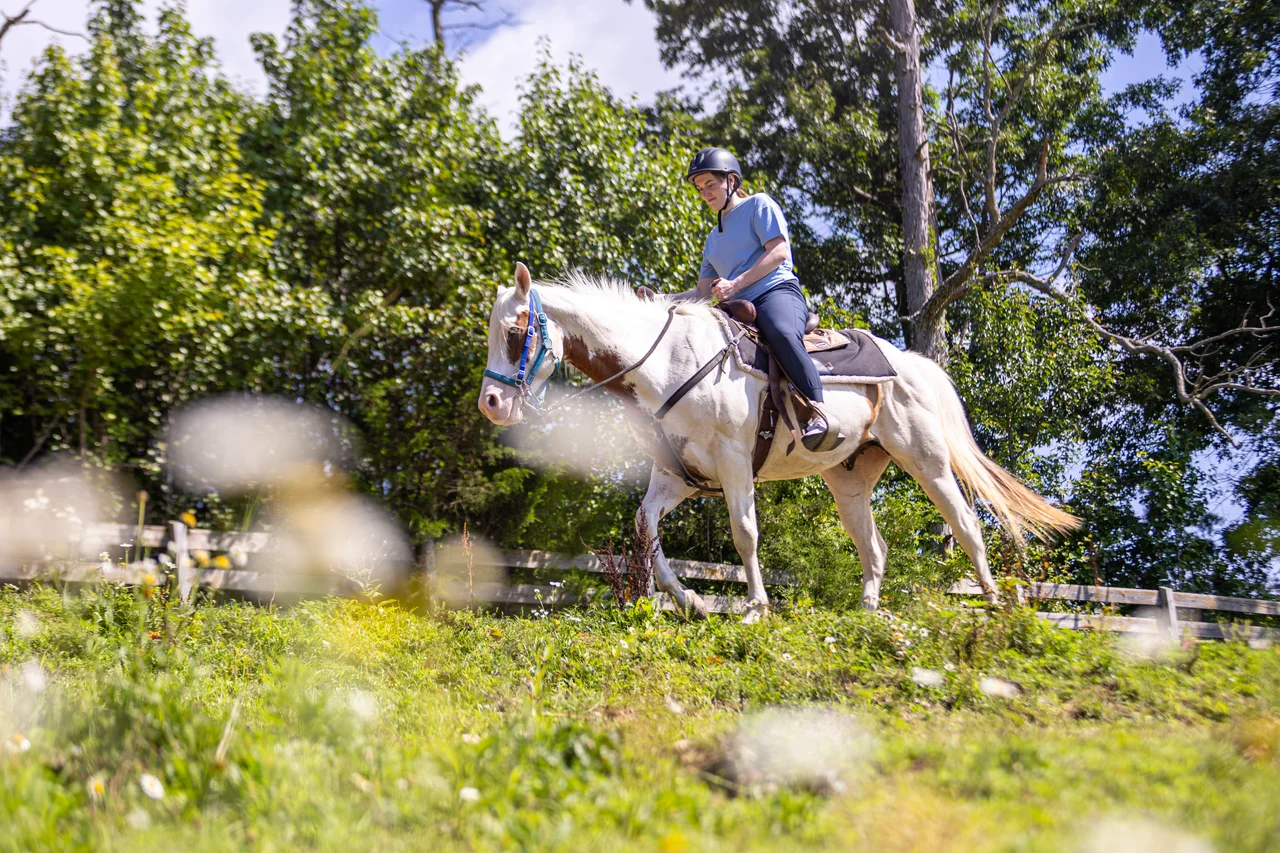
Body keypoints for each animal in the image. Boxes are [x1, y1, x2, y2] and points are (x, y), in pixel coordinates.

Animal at [478, 263, 1079, 622]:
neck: (667, 363)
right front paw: (687, 600)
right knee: (874, 546)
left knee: (968, 524)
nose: (491, 404)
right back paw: (867, 610)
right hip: (849, 481)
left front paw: (754, 607)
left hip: (926, 461)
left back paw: (995, 604)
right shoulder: (677, 476)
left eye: (514, 332)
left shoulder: (733, 464)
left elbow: (744, 535)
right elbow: (646, 531)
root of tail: (909, 362)